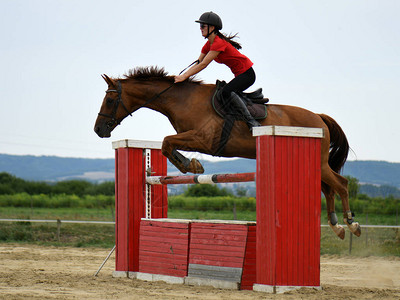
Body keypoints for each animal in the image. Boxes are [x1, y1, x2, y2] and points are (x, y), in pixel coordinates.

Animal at [94, 65, 362, 239]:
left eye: (109, 100)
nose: (98, 129)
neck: (181, 100)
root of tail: (319, 117)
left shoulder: (202, 139)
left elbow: (166, 142)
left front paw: (191, 165)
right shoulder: (192, 138)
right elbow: (167, 145)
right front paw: (190, 165)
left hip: (320, 163)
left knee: (341, 184)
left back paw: (350, 223)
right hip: (317, 165)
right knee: (328, 188)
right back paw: (337, 226)